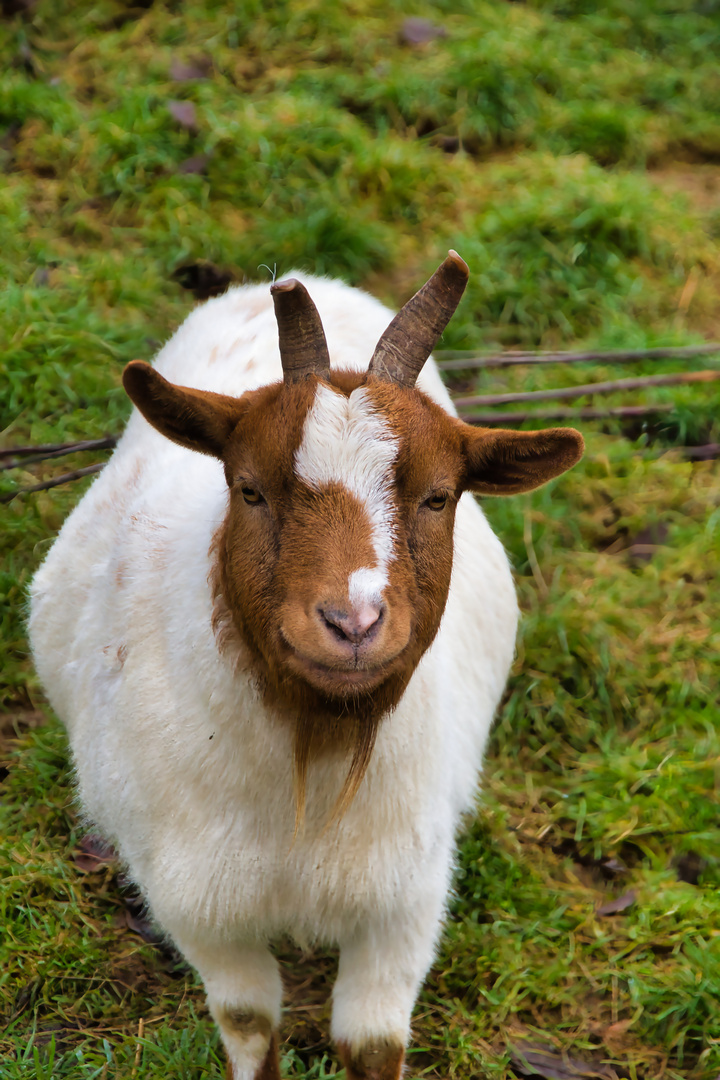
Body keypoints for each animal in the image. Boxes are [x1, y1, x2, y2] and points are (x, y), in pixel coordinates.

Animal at [31, 254, 587, 1080]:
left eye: (439, 496)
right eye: (249, 487)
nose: (352, 623)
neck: (314, 752)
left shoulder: (402, 898)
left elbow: (373, 1043)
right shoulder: (196, 900)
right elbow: (249, 1023)